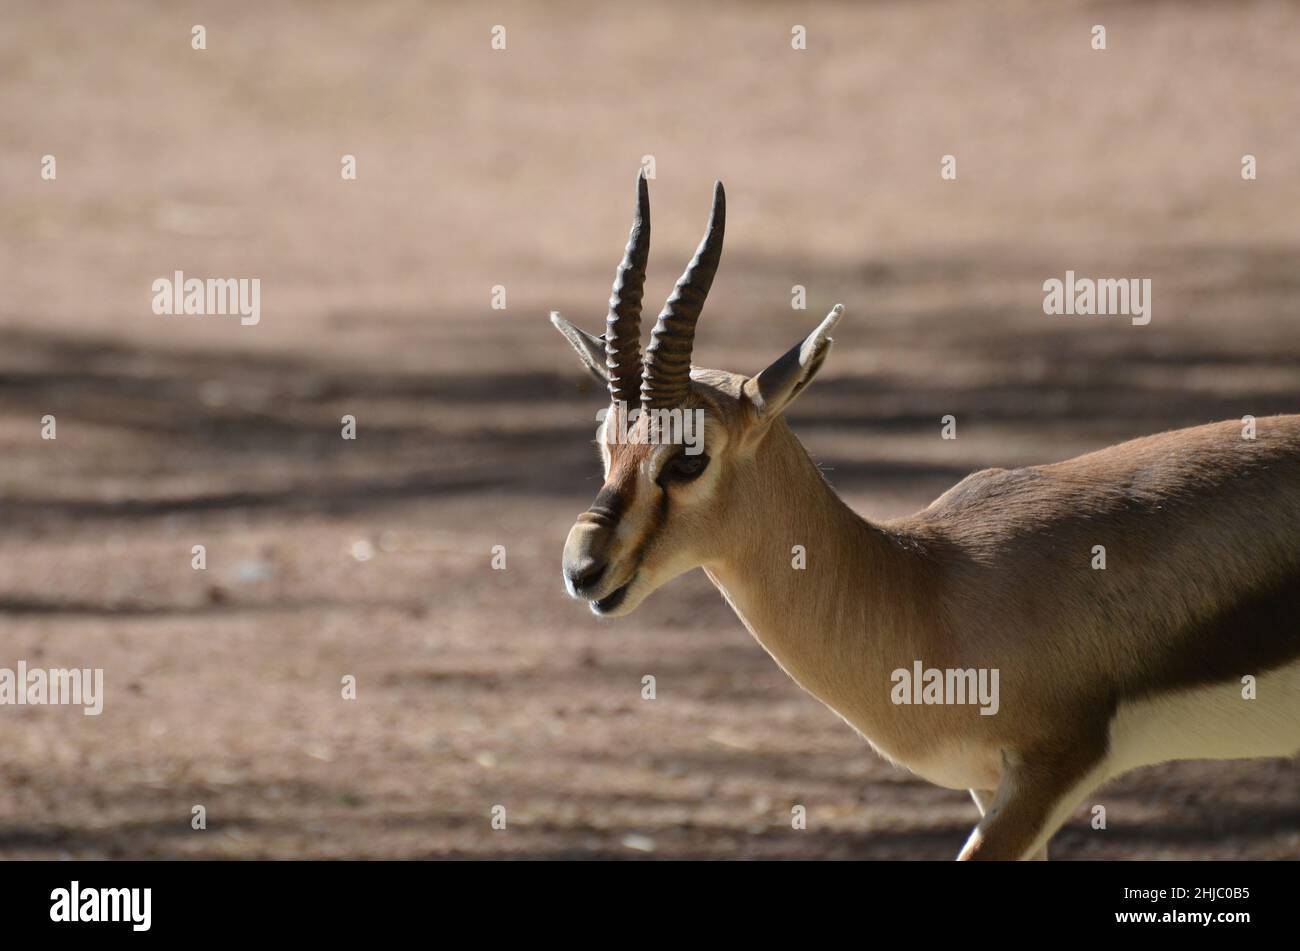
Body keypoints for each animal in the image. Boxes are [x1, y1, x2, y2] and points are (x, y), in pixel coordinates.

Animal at [550, 173, 1300, 860]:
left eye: (689, 459)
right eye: (605, 441)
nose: (584, 569)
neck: (927, 585)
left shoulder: (1048, 773)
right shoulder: (988, 783)